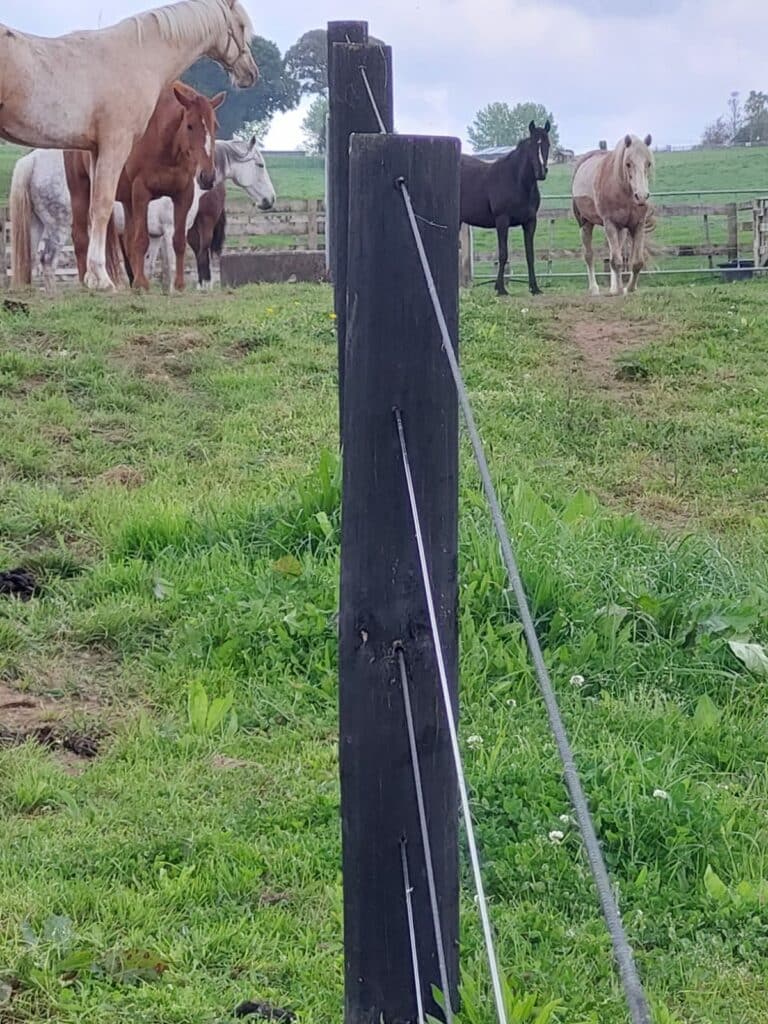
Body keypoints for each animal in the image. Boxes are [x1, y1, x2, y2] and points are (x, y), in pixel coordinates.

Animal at [65, 82, 225, 292]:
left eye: (215, 126)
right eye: (189, 125)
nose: (207, 176)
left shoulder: (183, 195)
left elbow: (178, 241)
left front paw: (178, 285)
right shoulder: (141, 192)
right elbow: (141, 240)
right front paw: (142, 283)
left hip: (126, 200)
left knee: (127, 239)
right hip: (80, 190)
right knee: (81, 237)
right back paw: (87, 280)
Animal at [460, 121, 551, 296]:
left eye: (548, 144)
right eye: (532, 146)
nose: (541, 173)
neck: (516, 180)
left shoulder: (530, 222)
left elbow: (530, 254)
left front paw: (534, 288)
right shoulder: (502, 220)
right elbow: (503, 254)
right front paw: (501, 289)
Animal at [571, 134, 654, 296]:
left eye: (648, 163)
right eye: (628, 163)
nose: (641, 196)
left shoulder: (638, 225)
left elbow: (636, 262)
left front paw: (629, 288)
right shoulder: (610, 224)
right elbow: (616, 262)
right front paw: (620, 290)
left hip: (620, 230)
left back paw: (613, 287)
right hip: (585, 223)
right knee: (589, 255)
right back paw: (594, 289)